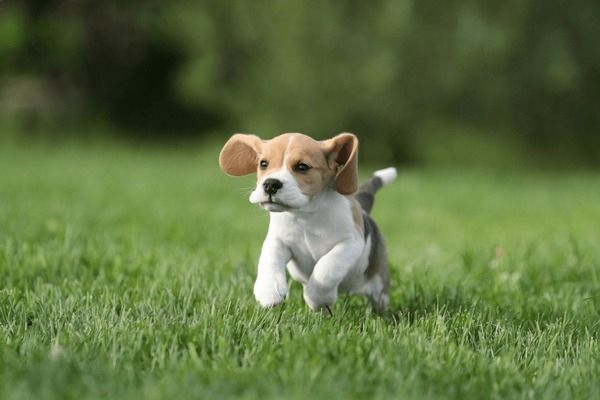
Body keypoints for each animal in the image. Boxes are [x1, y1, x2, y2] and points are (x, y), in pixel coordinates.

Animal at [218, 133, 396, 310]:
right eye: (263, 164)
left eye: (302, 167)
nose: (270, 184)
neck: (306, 215)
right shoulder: (278, 241)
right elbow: (269, 258)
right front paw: (269, 291)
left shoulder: (350, 243)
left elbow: (327, 266)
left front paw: (317, 297)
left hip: (379, 289)